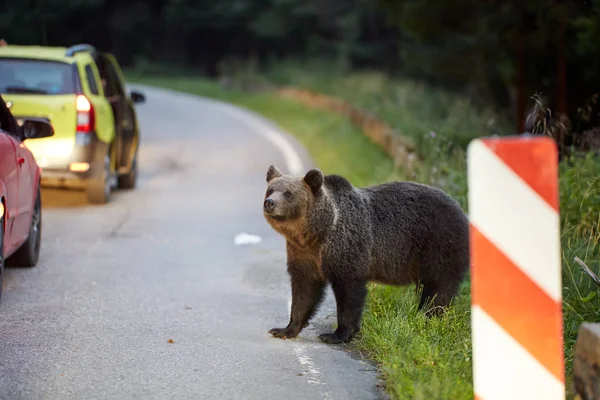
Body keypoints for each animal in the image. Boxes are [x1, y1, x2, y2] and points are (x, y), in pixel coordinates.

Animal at [264, 166, 472, 344]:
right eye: (271, 189)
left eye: (288, 193)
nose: (270, 203)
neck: (316, 233)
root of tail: (463, 212)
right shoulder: (303, 254)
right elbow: (304, 289)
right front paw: (284, 329)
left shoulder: (347, 247)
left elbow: (349, 292)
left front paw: (337, 334)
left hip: (440, 245)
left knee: (438, 288)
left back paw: (428, 318)